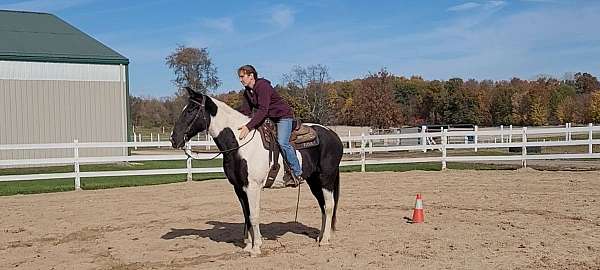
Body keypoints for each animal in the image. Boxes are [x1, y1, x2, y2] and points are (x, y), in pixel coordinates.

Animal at [171, 87, 344, 256]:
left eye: (190, 110)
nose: (174, 138)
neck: (240, 143)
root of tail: (333, 135)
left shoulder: (252, 187)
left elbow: (254, 215)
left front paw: (256, 247)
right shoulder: (239, 188)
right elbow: (246, 215)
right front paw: (248, 246)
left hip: (326, 178)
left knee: (329, 205)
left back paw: (325, 240)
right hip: (314, 180)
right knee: (322, 206)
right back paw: (320, 237)